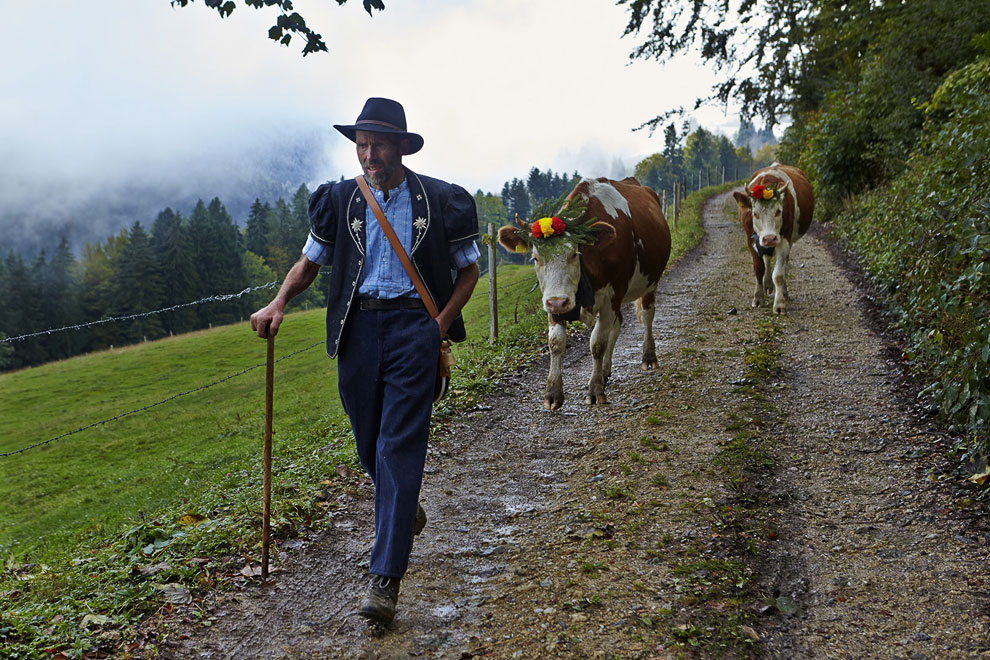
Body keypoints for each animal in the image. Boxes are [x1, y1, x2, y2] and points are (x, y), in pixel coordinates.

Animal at [496, 178, 676, 410]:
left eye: (574, 254)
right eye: (535, 258)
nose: (558, 303)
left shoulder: (610, 298)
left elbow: (597, 343)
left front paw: (595, 389)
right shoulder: (552, 301)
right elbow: (555, 343)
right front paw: (553, 393)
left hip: (650, 282)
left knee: (647, 316)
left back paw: (648, 357)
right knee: (618, 325)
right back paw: (606, 370)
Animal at [732, 164, 816, 314]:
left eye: (778, 211)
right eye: (755, 213)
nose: (769, 238)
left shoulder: (785, 240)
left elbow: (778, 274)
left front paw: (779, 304)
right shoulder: (750, 239)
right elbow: (758, 269)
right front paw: (758, 298)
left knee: (783, 263)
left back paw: (784, 291)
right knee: (766, 259)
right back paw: (767, 284)